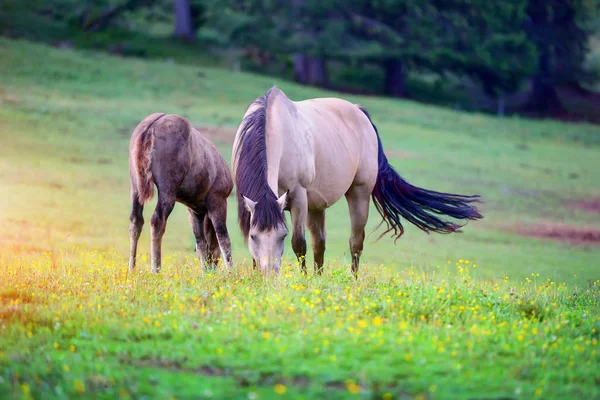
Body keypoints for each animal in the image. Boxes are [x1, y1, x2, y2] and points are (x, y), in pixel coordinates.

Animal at [127, 114, 233, 274]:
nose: (212, 270)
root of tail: (151, 127)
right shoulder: (218, 202)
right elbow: (223, 239)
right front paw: (232, 273)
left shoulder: (194, 211)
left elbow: (200, 244)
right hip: (167, 190)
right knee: (157, 221)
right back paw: (156, 270)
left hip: (135, 188)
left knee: (136, 220)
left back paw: (131, 269)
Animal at [231, 86, 482, 278]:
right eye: (254, 236)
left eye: (281, 235)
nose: (269, 275)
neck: (275, 127)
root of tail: (359, 112)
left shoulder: (298, 197)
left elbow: (298, 244)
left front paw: (301, 283)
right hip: (316, 205)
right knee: (319, 243)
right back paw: (318, 281)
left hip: (358, 193)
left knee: (355, 243)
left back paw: (353, 282)